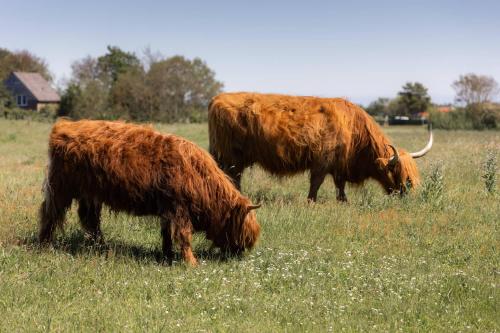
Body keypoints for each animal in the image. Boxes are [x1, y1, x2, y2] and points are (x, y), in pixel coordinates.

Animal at [39, 119, 262, 264]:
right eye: (242, 231)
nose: (238, 254)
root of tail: (64, 126)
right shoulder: (179, 208)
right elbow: (184, 236)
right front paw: (191, 263)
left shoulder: (167, 208)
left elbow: (166, 233)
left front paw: (167, 255)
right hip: (60, 188)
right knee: (50, 214)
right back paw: (44, 245)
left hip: (91, 193)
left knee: (89, 219)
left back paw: (102, 247)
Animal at [209, 93, 432, 202]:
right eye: (401, 175)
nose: (407, 196)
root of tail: (216, 99)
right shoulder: (322, 161)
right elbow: (316, 183)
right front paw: (311, 202)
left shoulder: (340, 165)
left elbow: (339, 185)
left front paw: (343, 201)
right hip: (231, 156)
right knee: (233, 176)